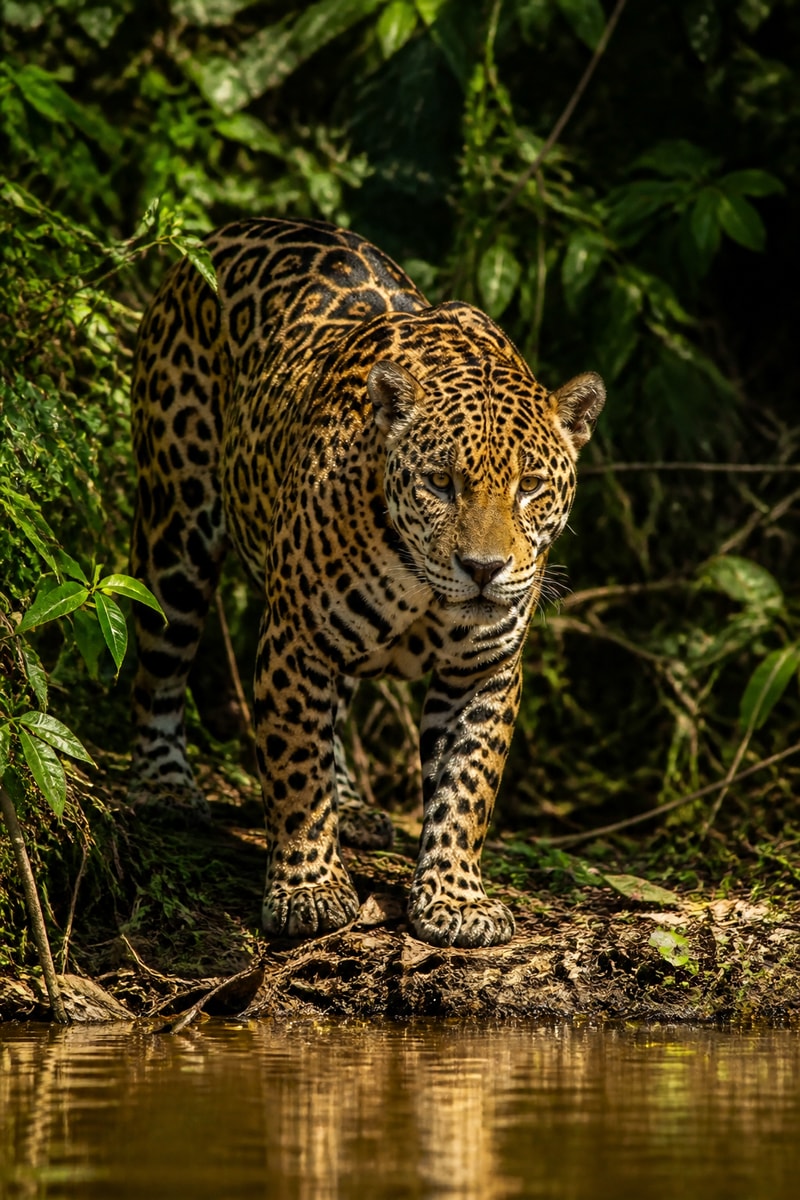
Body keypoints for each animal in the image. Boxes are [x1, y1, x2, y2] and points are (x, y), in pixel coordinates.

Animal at [129, 216, 604, 949]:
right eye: (439, 481)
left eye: (529, 486)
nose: (484, 570)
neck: (426, 589)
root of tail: (223, 231)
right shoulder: (296, 641)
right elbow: (296, 770)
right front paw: (309, 890)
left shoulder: (484, 669)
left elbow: (466, 787)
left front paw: (455, 899)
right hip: (175, 527)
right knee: (161, 661)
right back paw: (165, 788)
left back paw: (351, 806)